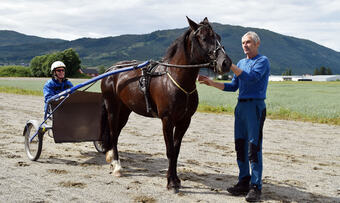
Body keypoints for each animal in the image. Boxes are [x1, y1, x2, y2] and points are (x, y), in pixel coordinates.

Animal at [99, 16, 232, 193]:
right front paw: (170, 182)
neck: (175, 79)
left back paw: (111, 157)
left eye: (218, 37)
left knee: (117, 132)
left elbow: (176, 151)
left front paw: (176, 179)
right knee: (113, 133)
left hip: (125, 110)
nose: (226, 63)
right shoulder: (167, 120)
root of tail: (111, 70)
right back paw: (117, 166)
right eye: (204, 38)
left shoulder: (184, 121)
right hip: (113, 107)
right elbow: (170, 151)